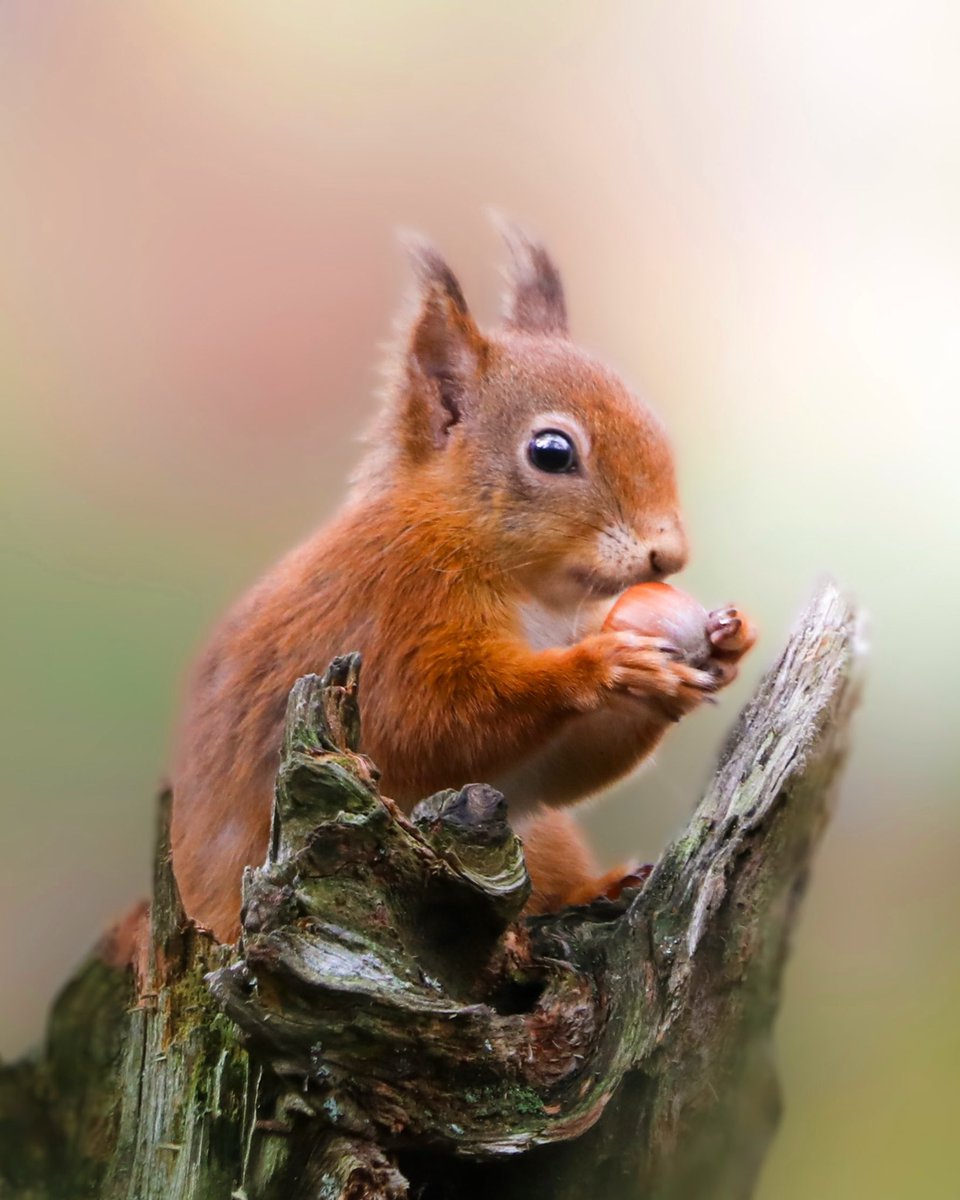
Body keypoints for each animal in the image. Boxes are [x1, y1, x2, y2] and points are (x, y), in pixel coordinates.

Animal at [168, 219, 755, 945]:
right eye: (551, 452)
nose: (668, 554)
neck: (536, 594)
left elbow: (557, 769)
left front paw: (726, 643)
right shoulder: (400, 610)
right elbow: (431, 725)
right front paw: (605, 667)